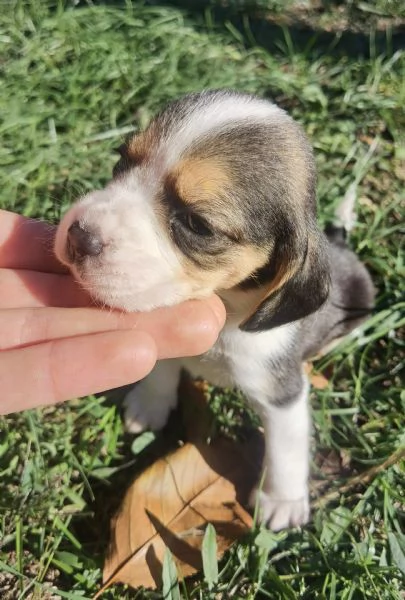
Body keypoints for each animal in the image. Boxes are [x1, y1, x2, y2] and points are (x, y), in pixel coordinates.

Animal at [55, 89, 374, 528]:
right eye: (121, 159)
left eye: (198, 224)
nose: (79, 237)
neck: (224, 306)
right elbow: (162, 369)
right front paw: (150, 403)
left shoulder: (283, 393)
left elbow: (286, 449)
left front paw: (282, 501)